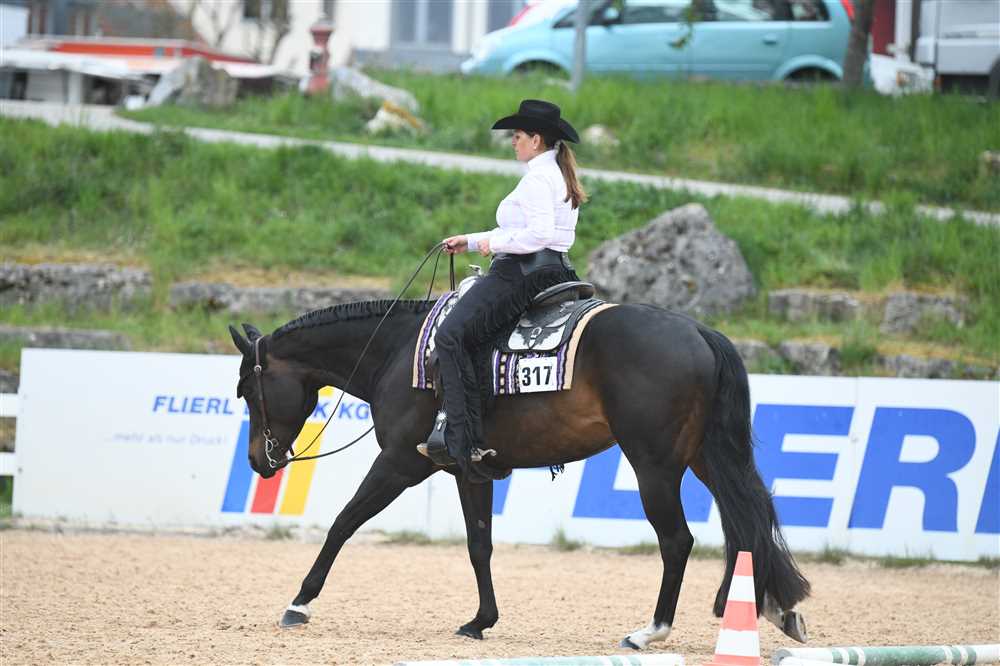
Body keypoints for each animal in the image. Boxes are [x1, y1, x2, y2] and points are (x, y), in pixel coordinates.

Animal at [227, 294, 811, 649]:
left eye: (248, 390)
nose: (259, 460)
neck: (398, 353)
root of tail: (699, 330)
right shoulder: (469, 472)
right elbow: (479, 544)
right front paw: (480, 621)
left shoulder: (398, 463)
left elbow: (342, 524)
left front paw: (299, 602)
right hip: (706, 457)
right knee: (749, 521)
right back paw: (774, 608)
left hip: (654, 465)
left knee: (678, 540)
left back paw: (651, 631)